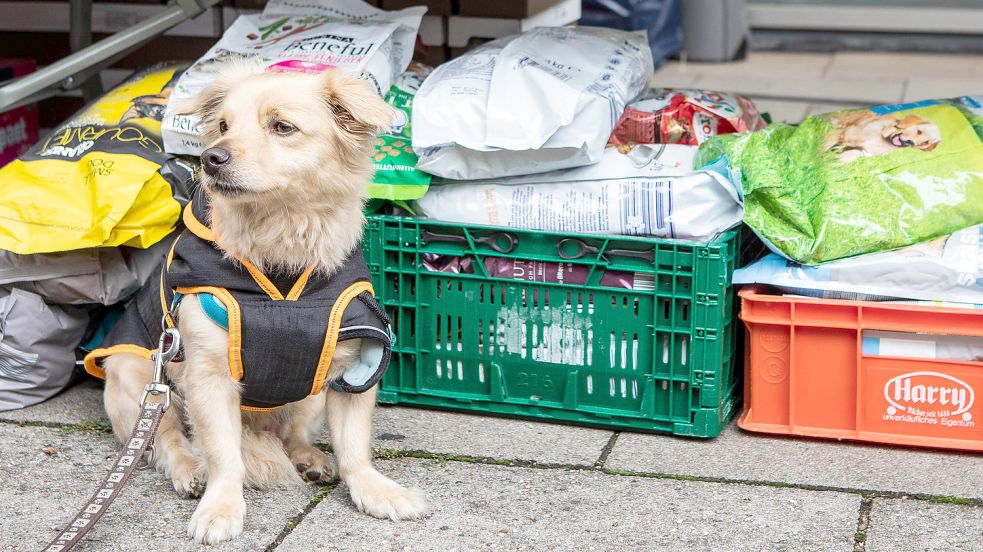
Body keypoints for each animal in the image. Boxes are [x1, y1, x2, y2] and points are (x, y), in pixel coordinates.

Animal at [85, 68, 426, 544]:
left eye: (282, 127)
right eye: (223, 126)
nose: (210, 158)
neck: (279, 247)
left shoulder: (356, 368)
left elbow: (355, 449)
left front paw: (376, 491)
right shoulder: (207, 376)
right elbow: (224, 456)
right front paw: (221, 507)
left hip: (312, 393)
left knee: (292, 433)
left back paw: (307, 458)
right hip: (140, 380)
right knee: (165, 439)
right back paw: (190, 470)